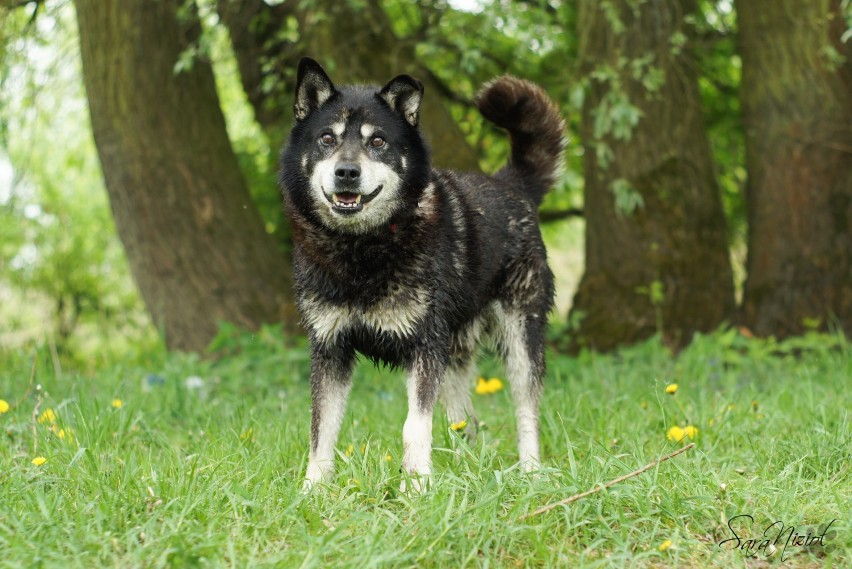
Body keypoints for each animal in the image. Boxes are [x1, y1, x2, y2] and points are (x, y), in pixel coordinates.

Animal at [282, 57, 564, 488]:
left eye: (378, 142)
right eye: (327, 139)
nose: (346, 172)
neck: (363, 250)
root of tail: (512, 185)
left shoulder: (424, 347)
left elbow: (414, 427)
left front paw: (416, 485)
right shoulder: (330, 348)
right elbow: (321, 429)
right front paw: (313, 489)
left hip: (519, 339)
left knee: (526, 412)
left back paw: (530, 472)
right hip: (455, 354)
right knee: (467, 422)